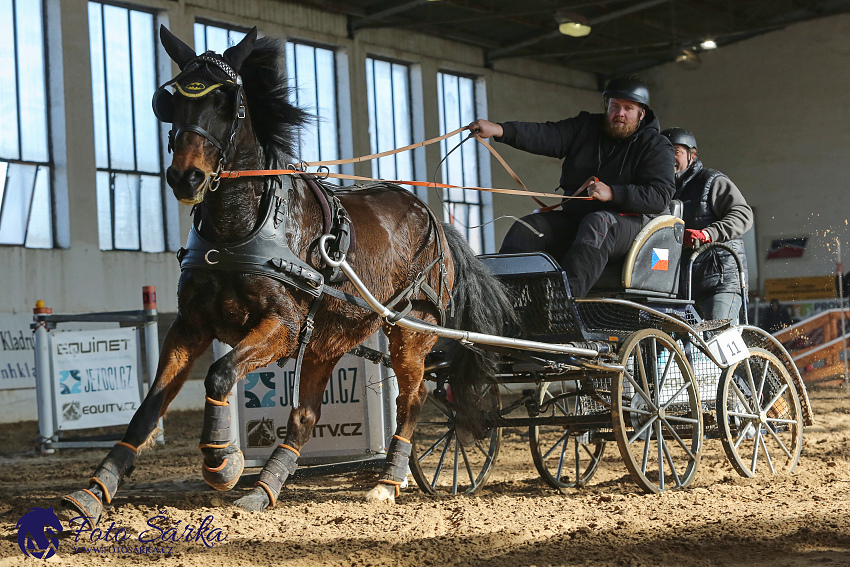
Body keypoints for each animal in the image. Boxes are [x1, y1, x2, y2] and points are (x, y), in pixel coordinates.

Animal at [59, 25, 512, 524]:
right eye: (170, 101)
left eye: (227, 101)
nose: (186, 177)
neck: (242, 230)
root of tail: (432, 220)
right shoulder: (190, 326)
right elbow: (149, 406)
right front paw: (95, 490)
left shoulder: (282, 325)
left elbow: (220, 374)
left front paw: (223, 461)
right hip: (327, 340)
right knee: (306, 416)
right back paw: (265, 489)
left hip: (412, 331)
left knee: (410, 401)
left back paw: (387, 482)